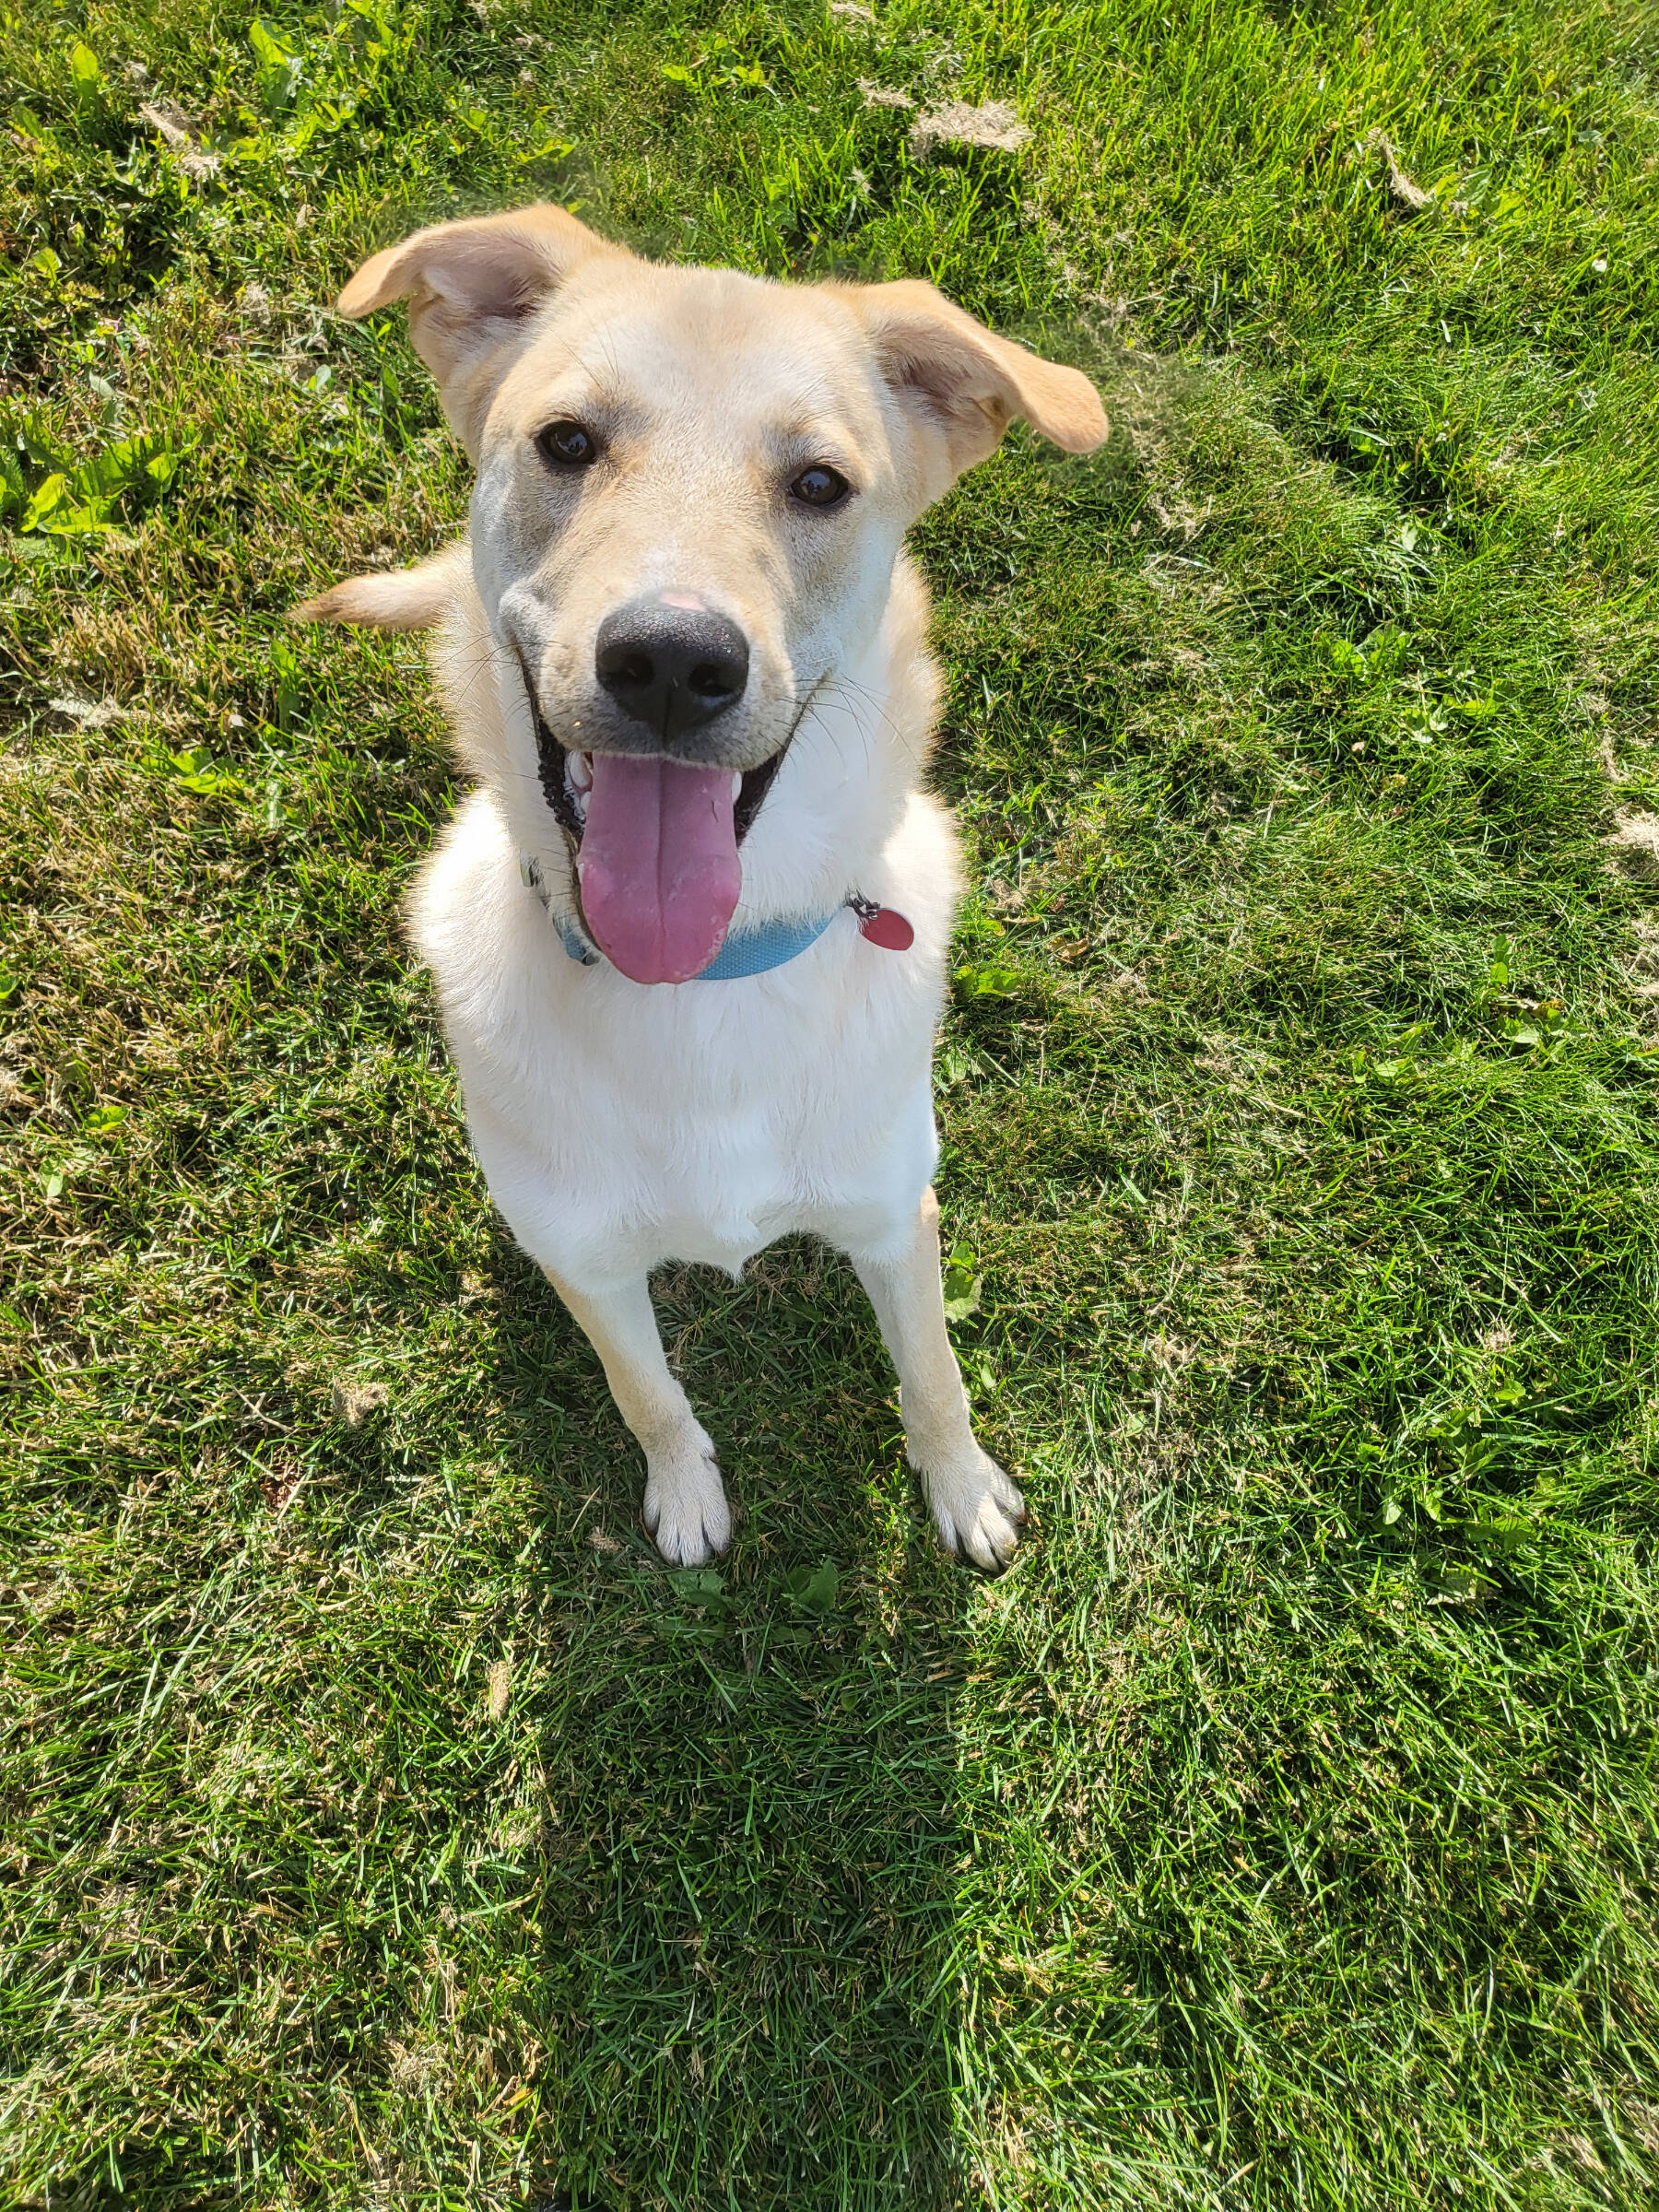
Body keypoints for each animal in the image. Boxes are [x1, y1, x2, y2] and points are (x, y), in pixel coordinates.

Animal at [302, 199, 1106, 1566]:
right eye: (567, 442)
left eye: (820, 484)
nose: (673, 661)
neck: (698, 994)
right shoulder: (587, 1263)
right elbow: (650, 1391)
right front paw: (686, 1495)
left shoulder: (898, 1211)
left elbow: (934, 1369)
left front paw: (960, 1486)